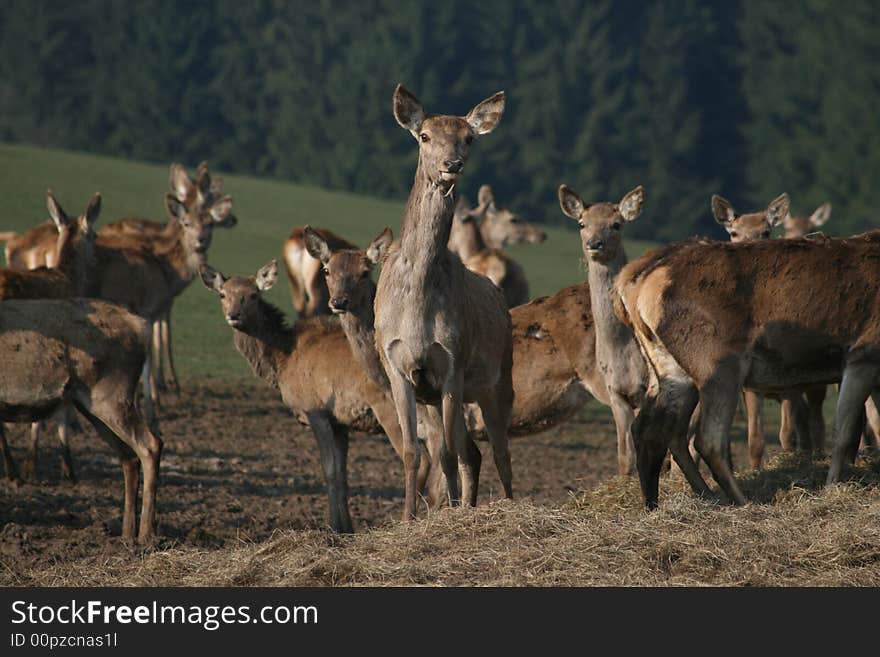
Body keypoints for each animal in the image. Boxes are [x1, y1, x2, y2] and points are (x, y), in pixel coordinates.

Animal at [0, 298, 162, 544]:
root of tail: (141, 327)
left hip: (111, 396)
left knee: (151, 445)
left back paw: (145, 535)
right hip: (91, 406)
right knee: (129, 456)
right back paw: (126, 534)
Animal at [372, 84, 516, 516]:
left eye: (469, 138)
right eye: (424, 136)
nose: (452, 164)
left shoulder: (453, 359)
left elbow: (448, 455)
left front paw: (450, 512)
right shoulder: (397, 366)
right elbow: (413, 453)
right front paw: (409, 518)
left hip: (498, 380)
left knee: (499, 452)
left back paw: (507, 506)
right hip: (437, 397)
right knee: (474, 452)